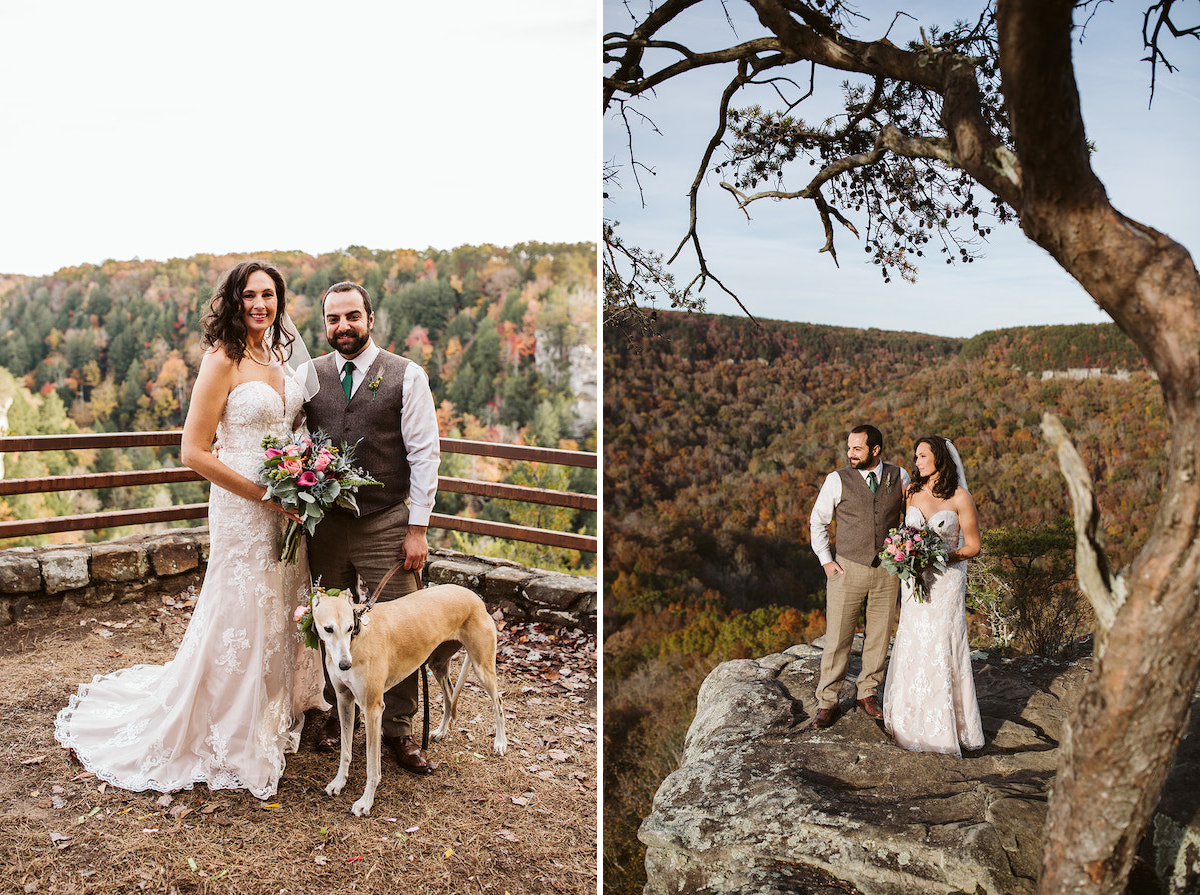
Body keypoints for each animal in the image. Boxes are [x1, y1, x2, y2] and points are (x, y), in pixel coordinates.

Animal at [309, 583, 506, 811]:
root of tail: (474, 596)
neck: (359, 637)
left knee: (498, 703)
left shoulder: (373, 708)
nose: (344, 665)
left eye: (350, 628)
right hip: (438, 663)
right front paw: (338, 783)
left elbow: (372, 765)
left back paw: (500, 742)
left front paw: (365, 802)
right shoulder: (344, 700)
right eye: (328, 629)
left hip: (482, 667)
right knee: (449, 697)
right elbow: (345, 751)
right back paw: (441, 731)